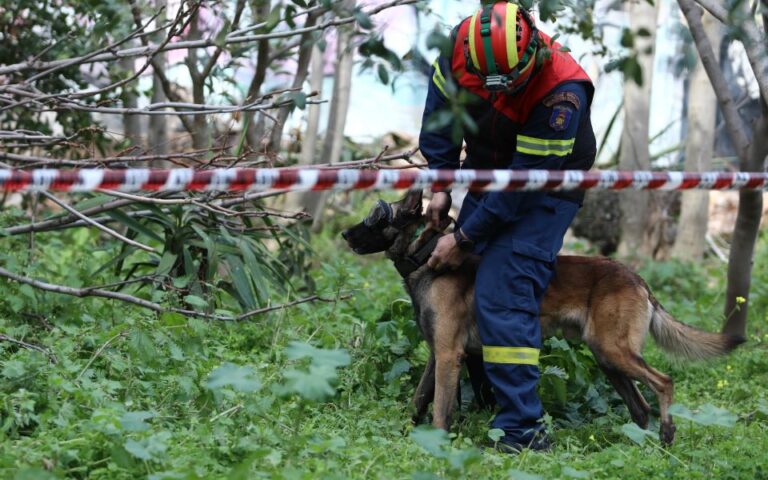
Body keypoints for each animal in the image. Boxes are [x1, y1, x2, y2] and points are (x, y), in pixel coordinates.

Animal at [342, 189, 744, 444]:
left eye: (374, 217)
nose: (345, 233)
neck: (425, 255)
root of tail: (636, 277)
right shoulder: (437, 355)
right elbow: (418, 400)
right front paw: (406, 434)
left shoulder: (448, 356)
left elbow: (440, 409)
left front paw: (437, 447)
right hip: (607, 357)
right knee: (640, 407)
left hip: (614, 352)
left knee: (664, 382)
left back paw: (666, 433)